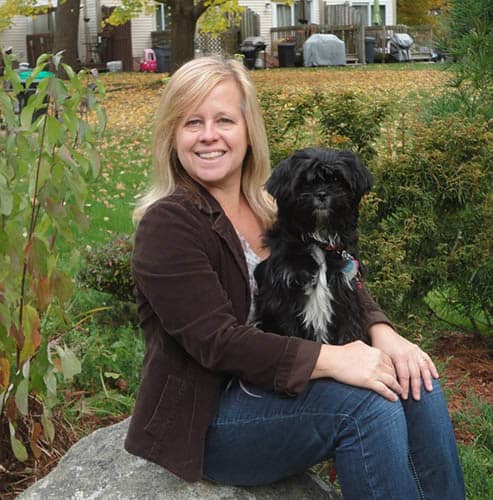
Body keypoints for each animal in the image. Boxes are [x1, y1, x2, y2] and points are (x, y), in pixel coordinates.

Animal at [254, 146, 372, 346]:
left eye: (336, 179)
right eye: (304, 182)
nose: (322, 194)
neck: (318, 241)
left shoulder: (347, 296)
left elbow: (349, 334)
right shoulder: (283, 299)